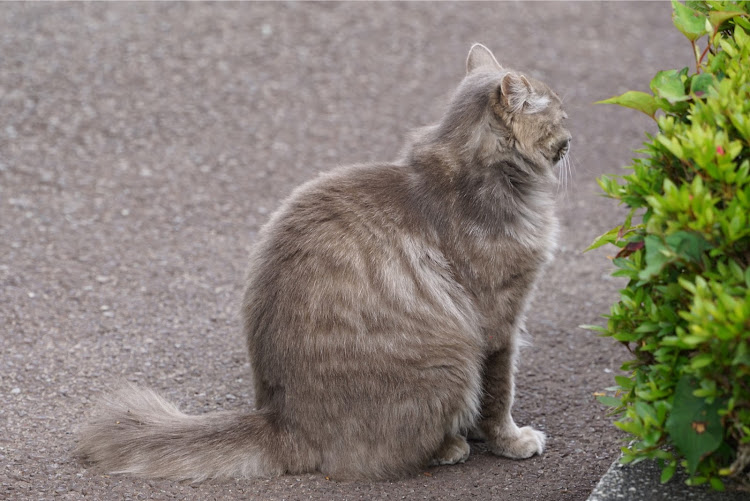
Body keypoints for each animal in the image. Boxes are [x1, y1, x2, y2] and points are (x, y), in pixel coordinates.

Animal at [78, 43, 568, 480]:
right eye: (561, 113)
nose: (572, 133)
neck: (485, 177)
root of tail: (282, 420)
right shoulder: (499, 321)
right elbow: (500, 393)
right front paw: (511, 440)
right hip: (453, 357)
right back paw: (451, 446)